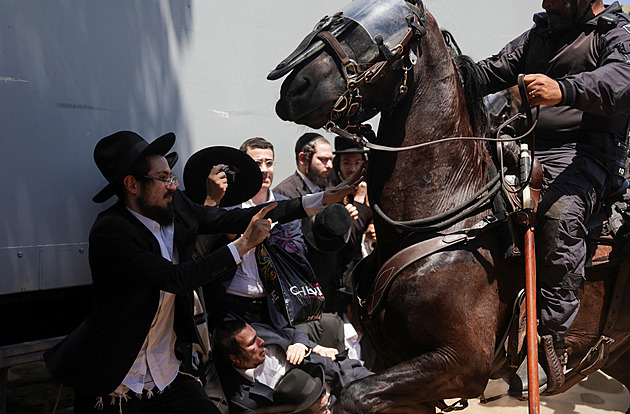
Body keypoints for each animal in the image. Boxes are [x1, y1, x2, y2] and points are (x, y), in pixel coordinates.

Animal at [270, 1, 630, 412]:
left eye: (381, 36)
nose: (297, 88)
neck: (443, 218)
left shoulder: (459, 363)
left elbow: (353, 395)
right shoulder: (400, 364)